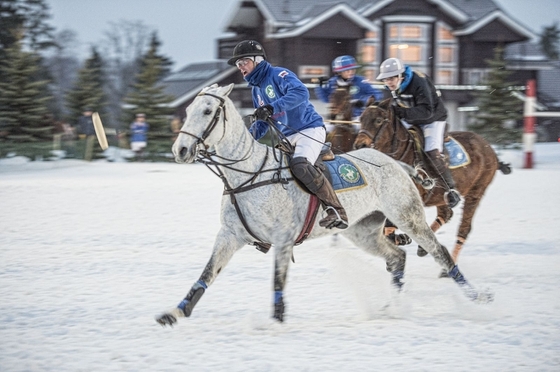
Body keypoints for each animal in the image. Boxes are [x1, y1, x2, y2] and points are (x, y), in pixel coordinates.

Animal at [156, 83, 490, 326]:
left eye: (208, 110)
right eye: (189, 109)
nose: (180, 150)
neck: (249, 174)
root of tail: (397, 163)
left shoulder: (283, 239)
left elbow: (277, 282)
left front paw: (276, 322)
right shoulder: (230, 235)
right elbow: (206, 274)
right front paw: (174, 313)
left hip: (409, 215)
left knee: (440, 252)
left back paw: (477, 297)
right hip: (362, 230)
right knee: (396, 258)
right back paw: (391, 307)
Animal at [354, 99, 512, 274]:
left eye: (378, 120)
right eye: (361, 118)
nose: (359, 145)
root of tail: (491, 149)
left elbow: (389, 227)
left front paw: (400, 241)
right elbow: (384, 228)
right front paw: (400, 242)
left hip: (475, 192)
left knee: (464, 228)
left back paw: (447, 267)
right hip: (441, 198)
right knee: (446, 214)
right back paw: (424, 248)